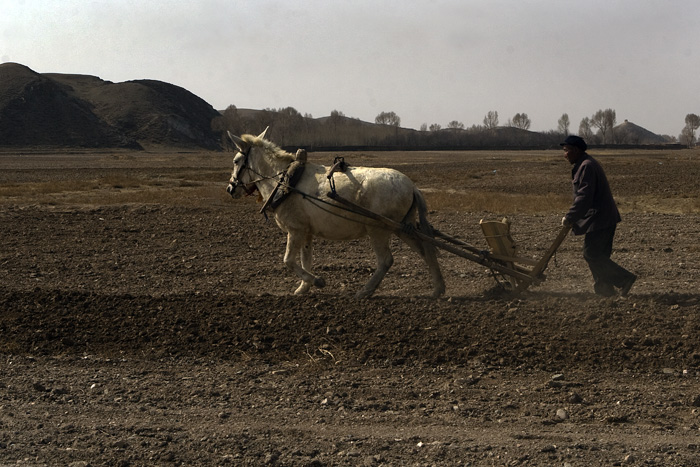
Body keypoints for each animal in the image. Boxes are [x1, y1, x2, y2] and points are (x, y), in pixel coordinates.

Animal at [226, 130, 442, 298]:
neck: (285, 181)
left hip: (378, 229)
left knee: (386, 260)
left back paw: (365, 291)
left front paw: (317, 281)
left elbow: (288, 260)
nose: (230, 189)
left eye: (236, 161)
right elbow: (306, 259)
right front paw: (304, 287)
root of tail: (412, 186)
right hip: (402, 228)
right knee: (425, 251)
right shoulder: (306, 232)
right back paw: (438, 288)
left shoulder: (295, 230)